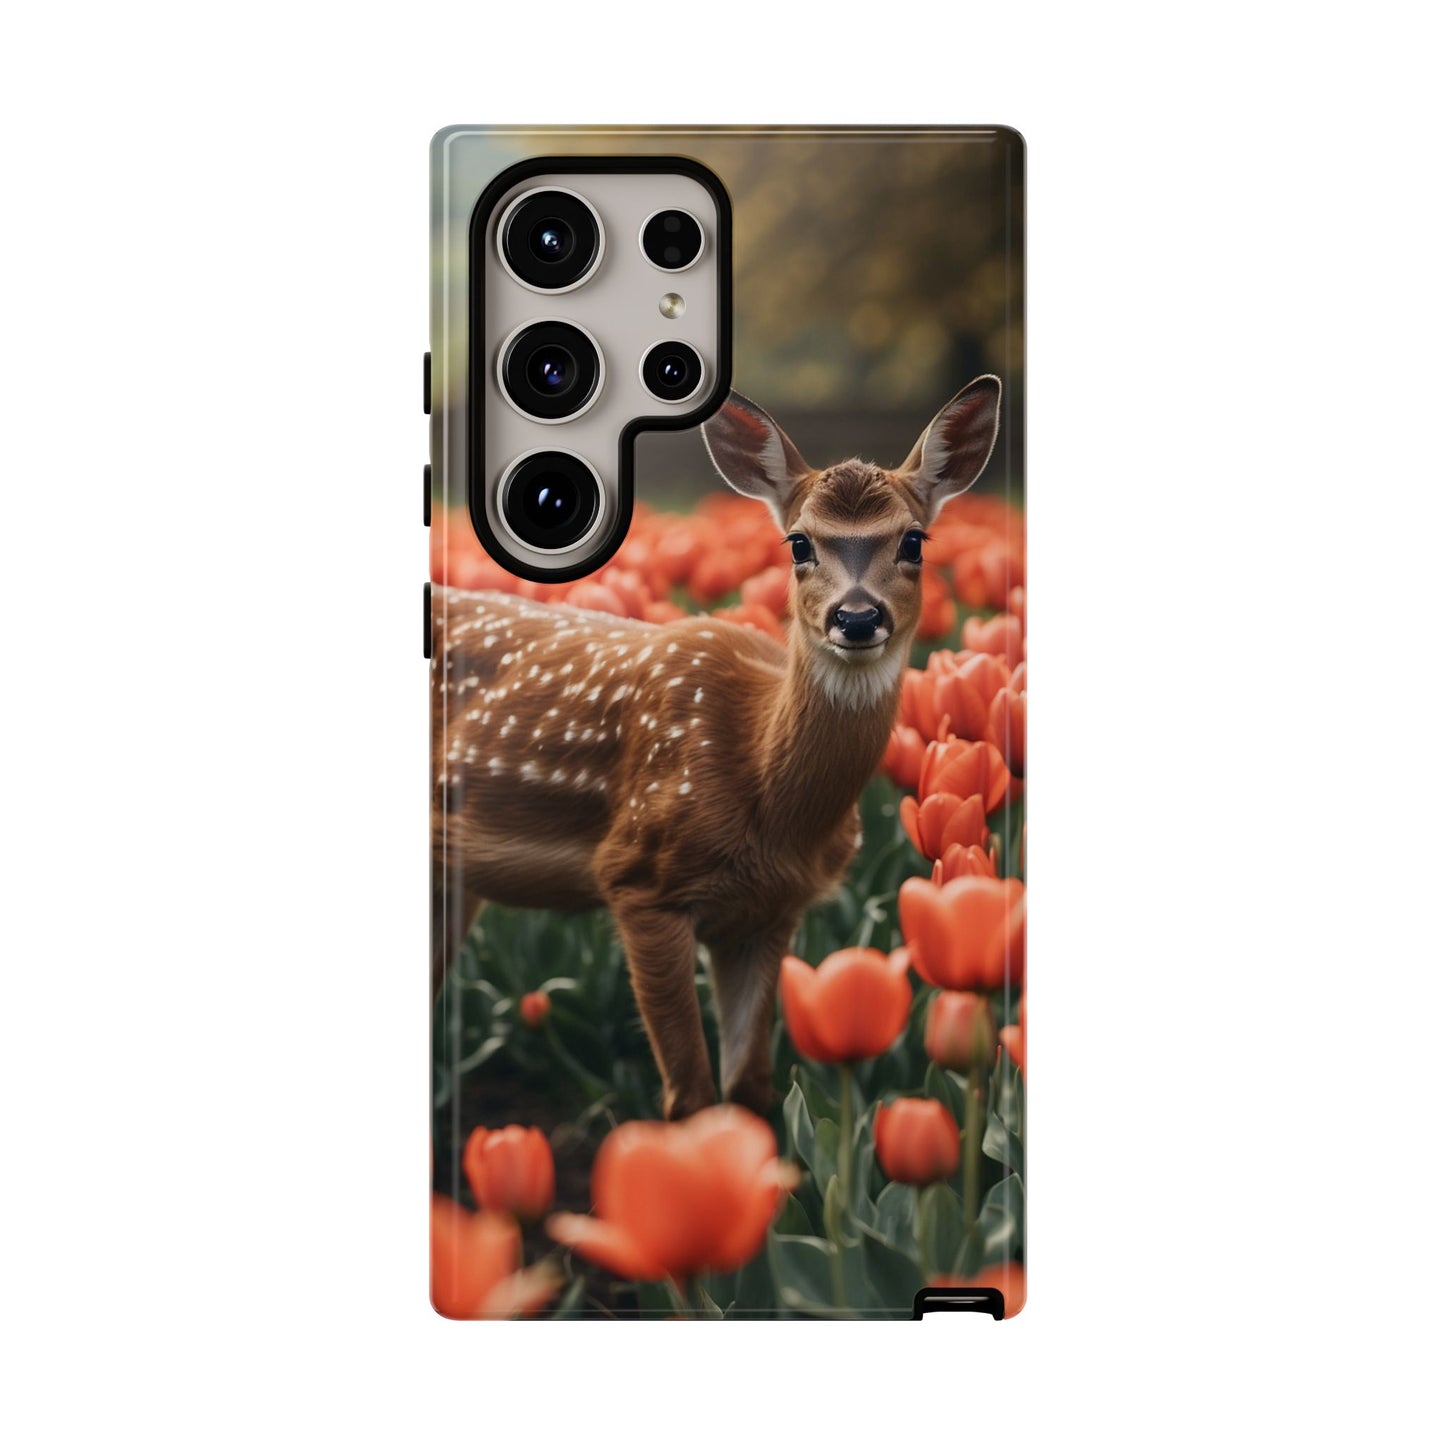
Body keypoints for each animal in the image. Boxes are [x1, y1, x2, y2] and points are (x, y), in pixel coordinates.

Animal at [432, 377, 1002, 1119]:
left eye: (914, 540)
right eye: (798, 543)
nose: (855, 617)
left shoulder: (770, 911)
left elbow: (749, 1087)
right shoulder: (639, 878)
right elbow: (692, 1098)